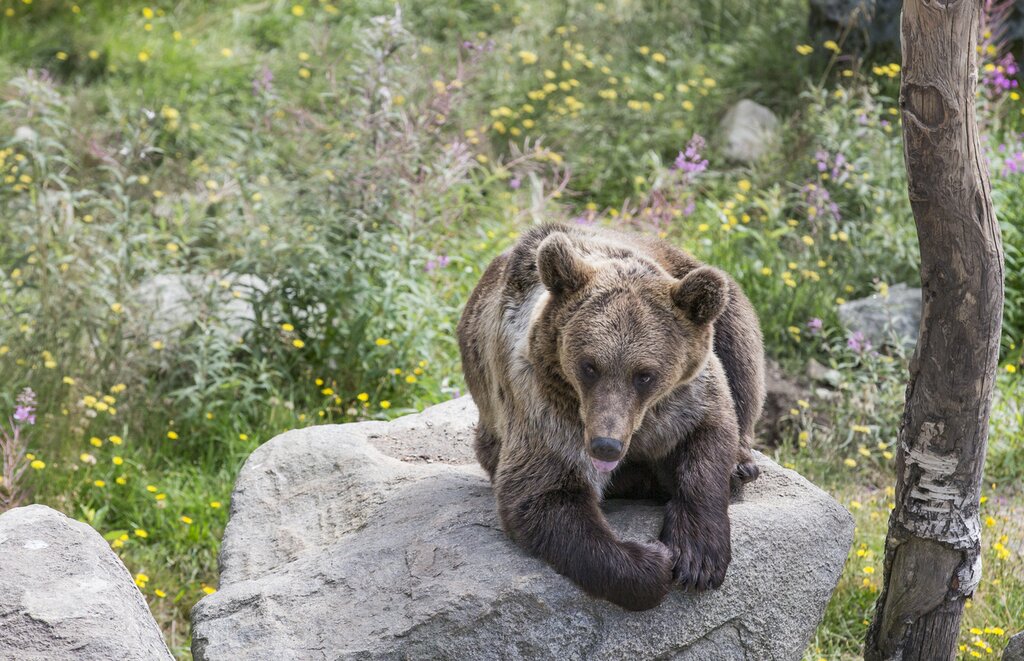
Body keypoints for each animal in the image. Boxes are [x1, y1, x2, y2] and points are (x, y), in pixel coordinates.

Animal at [457, 223, 765, 611]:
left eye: (644, 375)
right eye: (589, 367)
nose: (606, 445)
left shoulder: (686, 395)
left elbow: (709, 435)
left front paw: (698, 556)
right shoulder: (543, 406)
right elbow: (543, 494)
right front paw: (654, 561)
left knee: (739, 342)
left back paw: (741, 466)